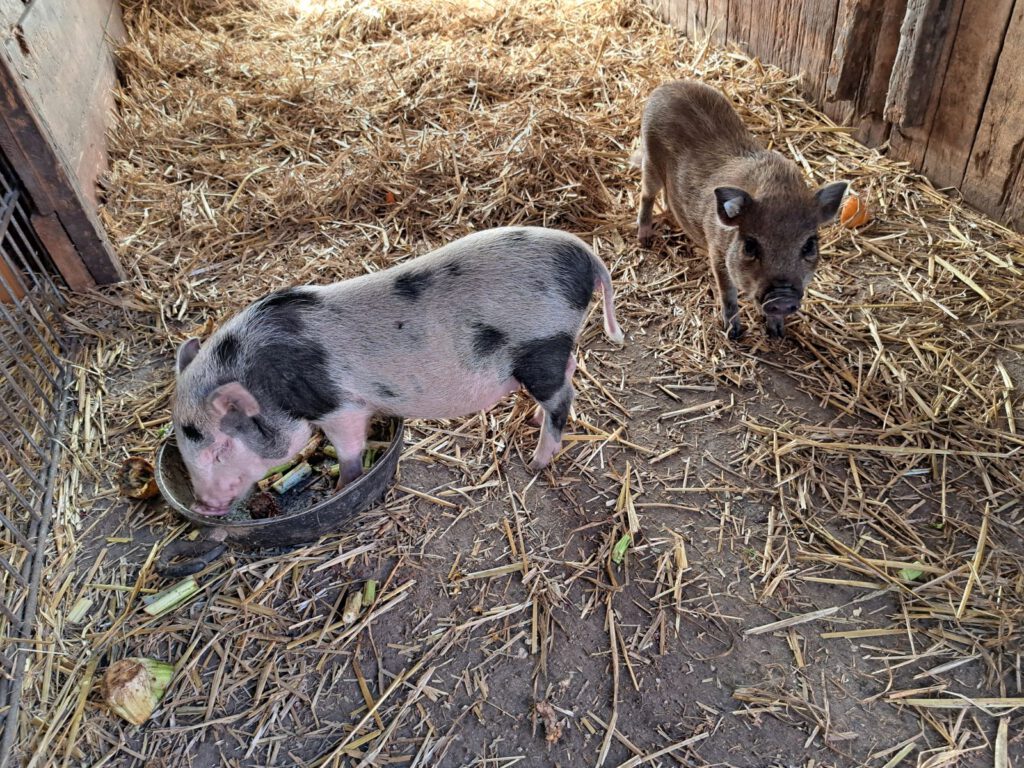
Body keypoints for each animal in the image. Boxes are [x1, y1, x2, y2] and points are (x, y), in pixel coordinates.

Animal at [630, 80, 847, 339]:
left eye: (809, 245)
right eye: (750, 246)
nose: (783, 297)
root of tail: (666, 86)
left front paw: (777, 333)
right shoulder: (716, 253)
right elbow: (728, 294)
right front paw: (733, 333)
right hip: (650, 161)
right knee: (646, 195)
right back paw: (644, 240)